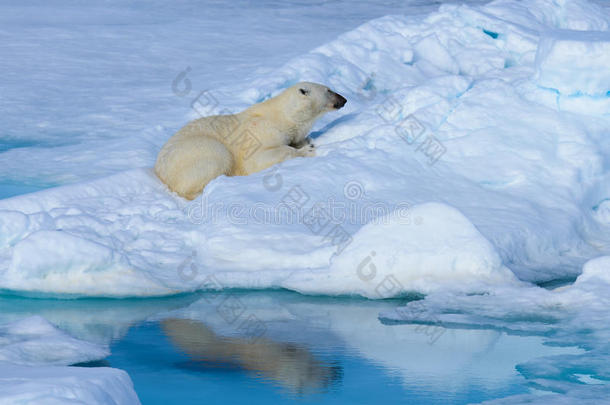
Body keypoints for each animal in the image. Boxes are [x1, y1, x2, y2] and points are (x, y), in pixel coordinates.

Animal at [154, 83, 344, 200]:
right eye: (328, 90)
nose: (344, 99)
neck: (283, 117)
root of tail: (160, 173)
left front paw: (306, 142)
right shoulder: (261, 131)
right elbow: (258, 159)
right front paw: (308, 150)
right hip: (196, 151)